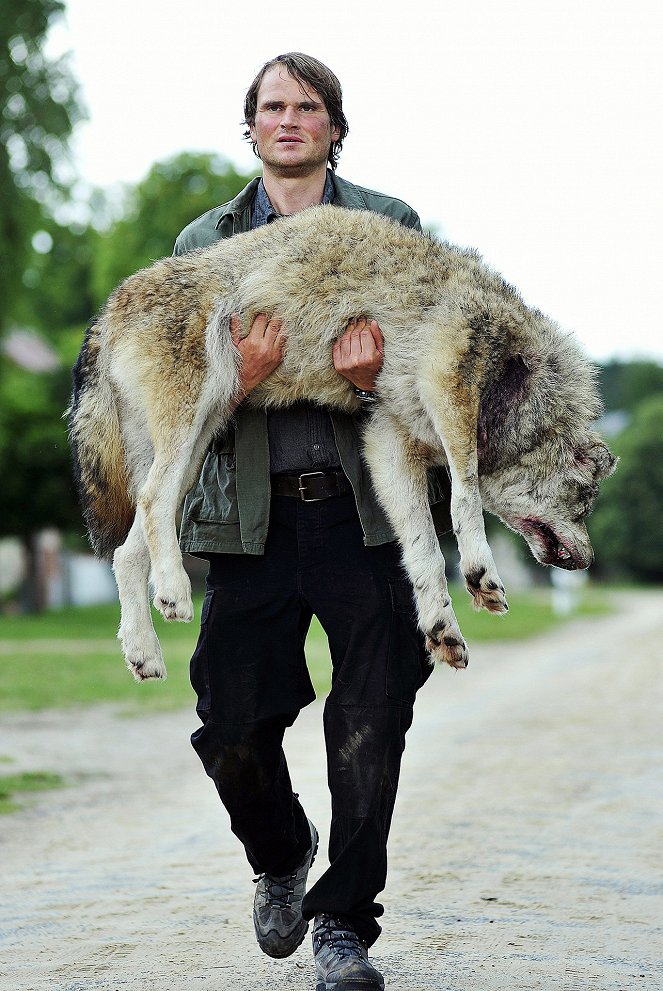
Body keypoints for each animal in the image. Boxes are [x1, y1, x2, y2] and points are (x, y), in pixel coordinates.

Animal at [67, 202, 616, 680]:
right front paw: (482, 576)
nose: (589, 562)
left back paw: (143, 652)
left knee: (125, 554)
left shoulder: (388, 444)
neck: (522, 384)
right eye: (585, 505)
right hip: (187, 431)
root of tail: (107, 309)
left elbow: (425, 554)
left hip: (198, 443)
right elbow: (465, 500)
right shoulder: (451, 385)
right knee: (151, 502)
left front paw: (444, 632)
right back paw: (175, 593)